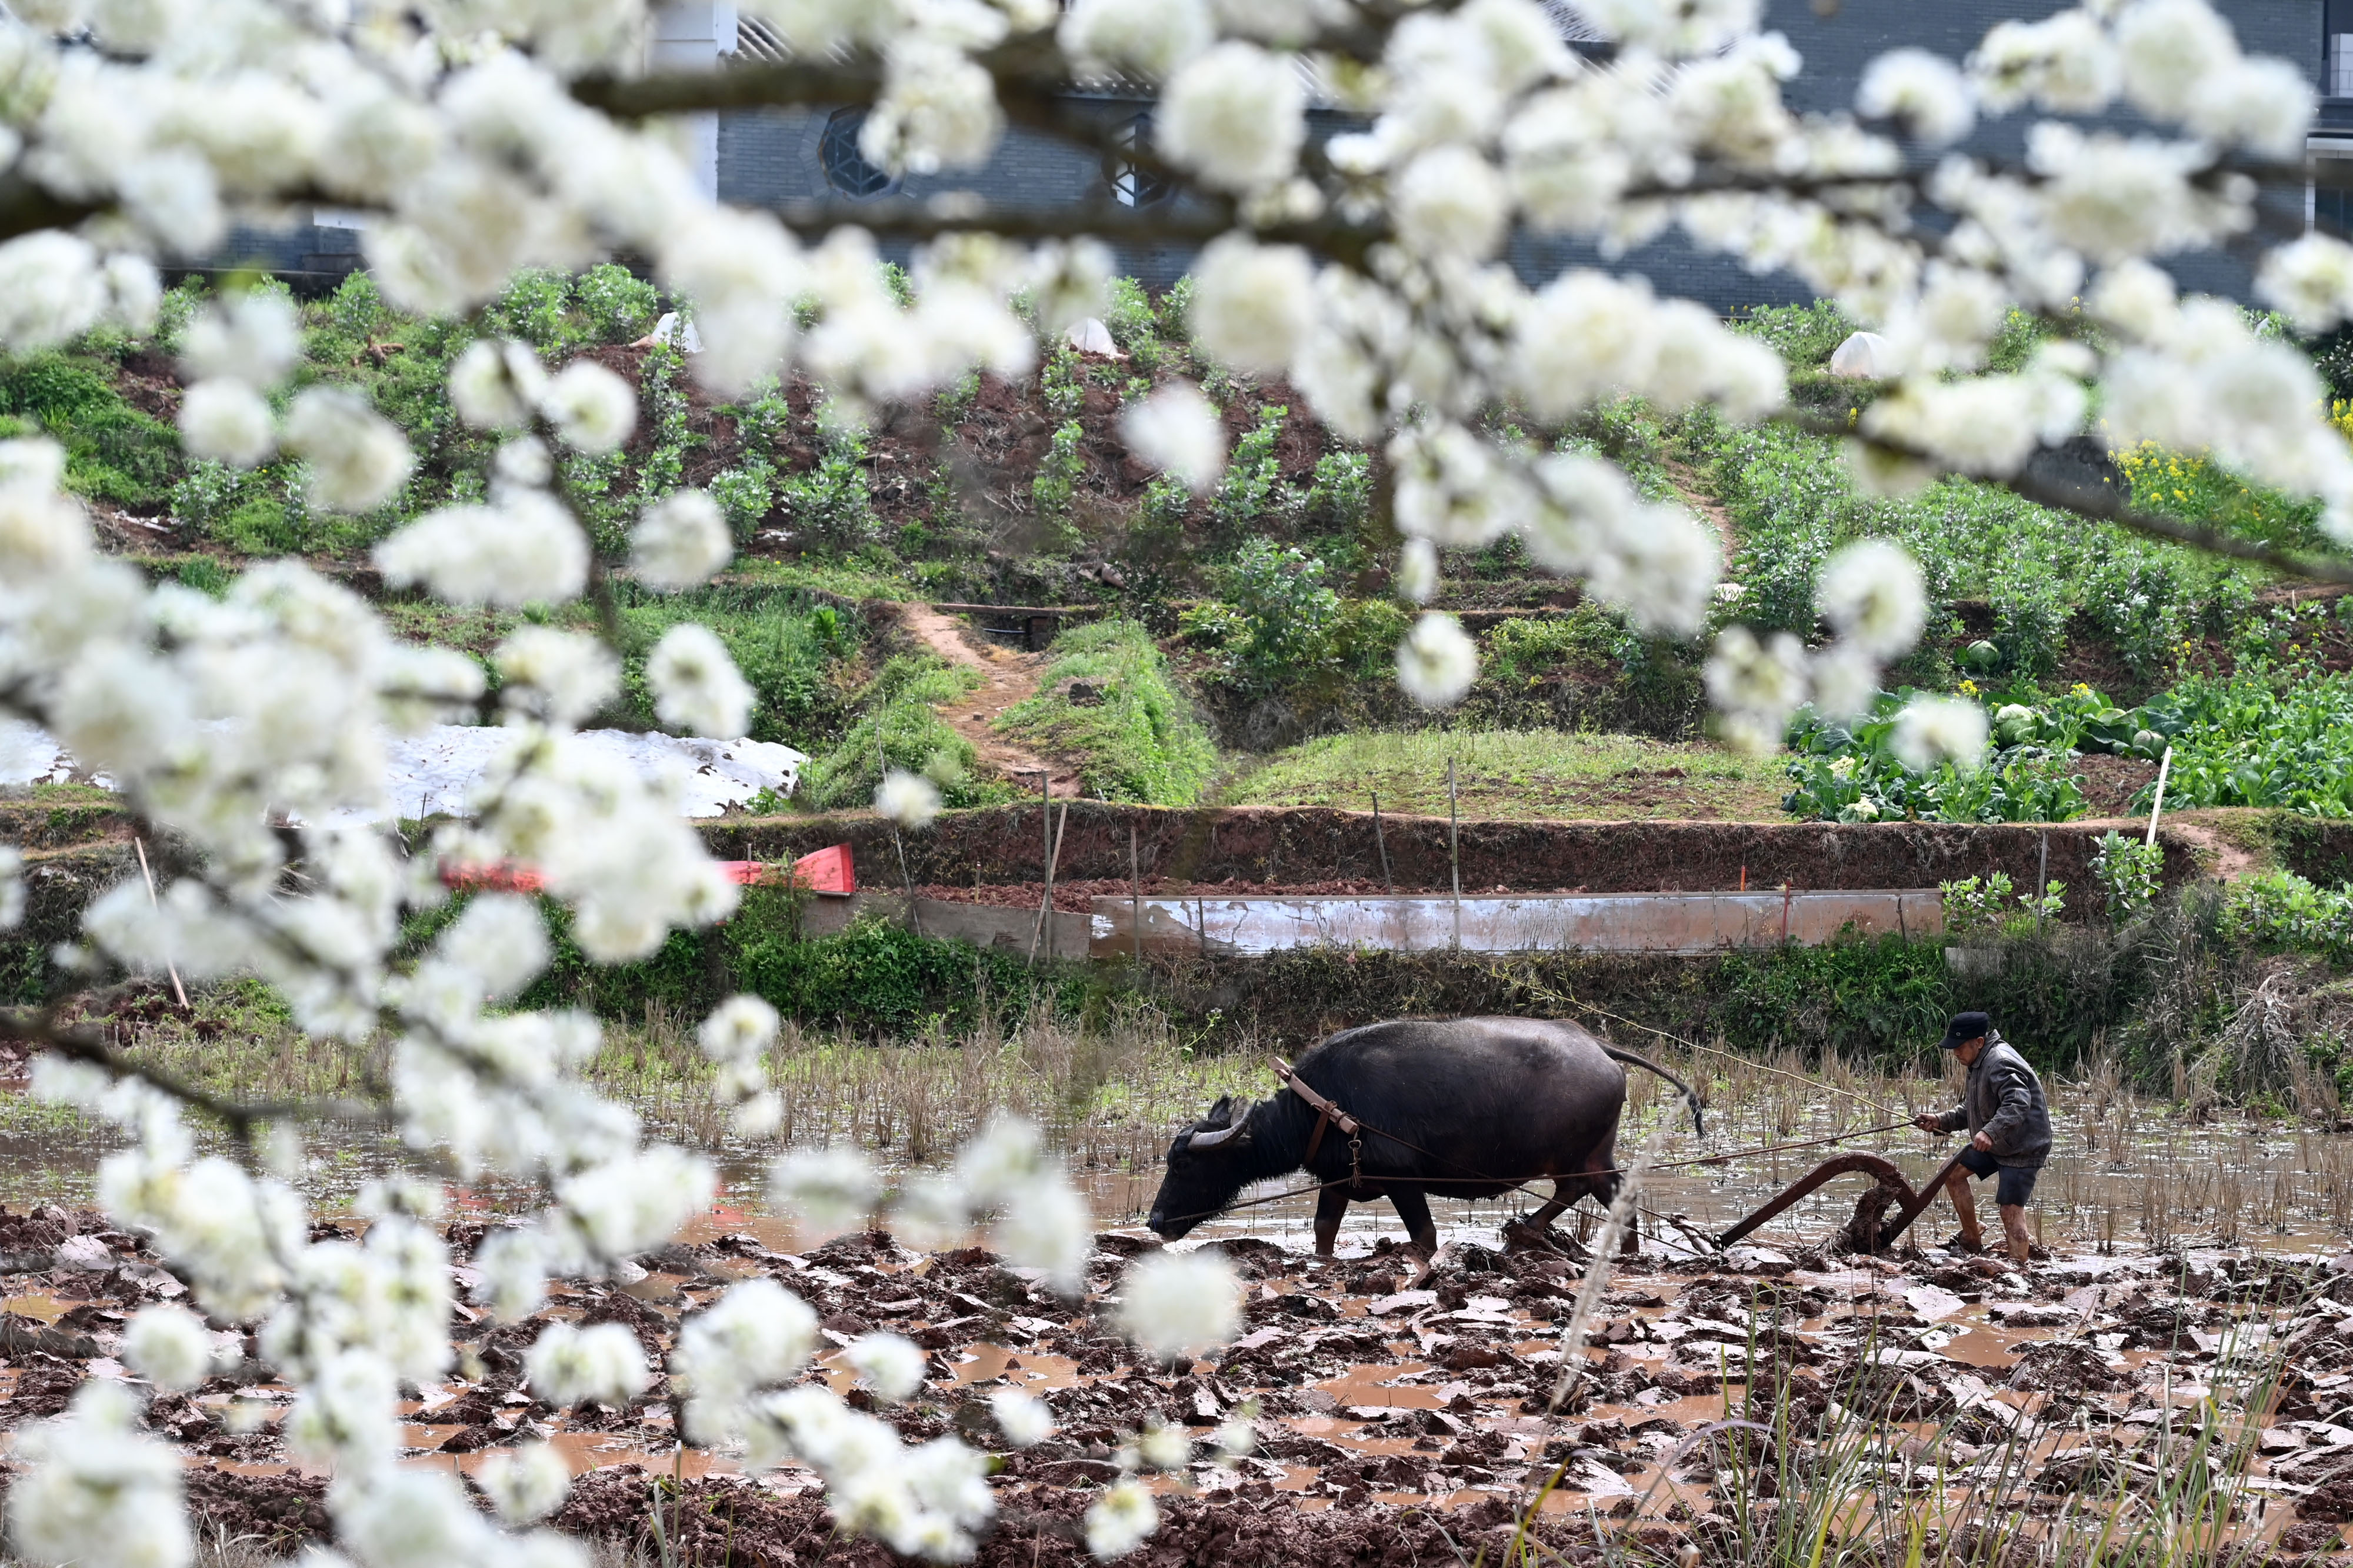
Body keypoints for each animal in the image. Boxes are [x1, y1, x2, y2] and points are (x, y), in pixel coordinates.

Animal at [1148, 1012, 1704, 1262]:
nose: (1155, 1222)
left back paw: (1532, 1234)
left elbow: (1425, 1236)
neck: (1323, 1108)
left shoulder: (1403, 1180)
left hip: (1576, 1156)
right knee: (1607, 1196)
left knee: (1589, 1191)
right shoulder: (1338, 1181)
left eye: (1184, 1165)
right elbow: (1324, 1230)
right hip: (1591, 1155)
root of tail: (1598, 1047)